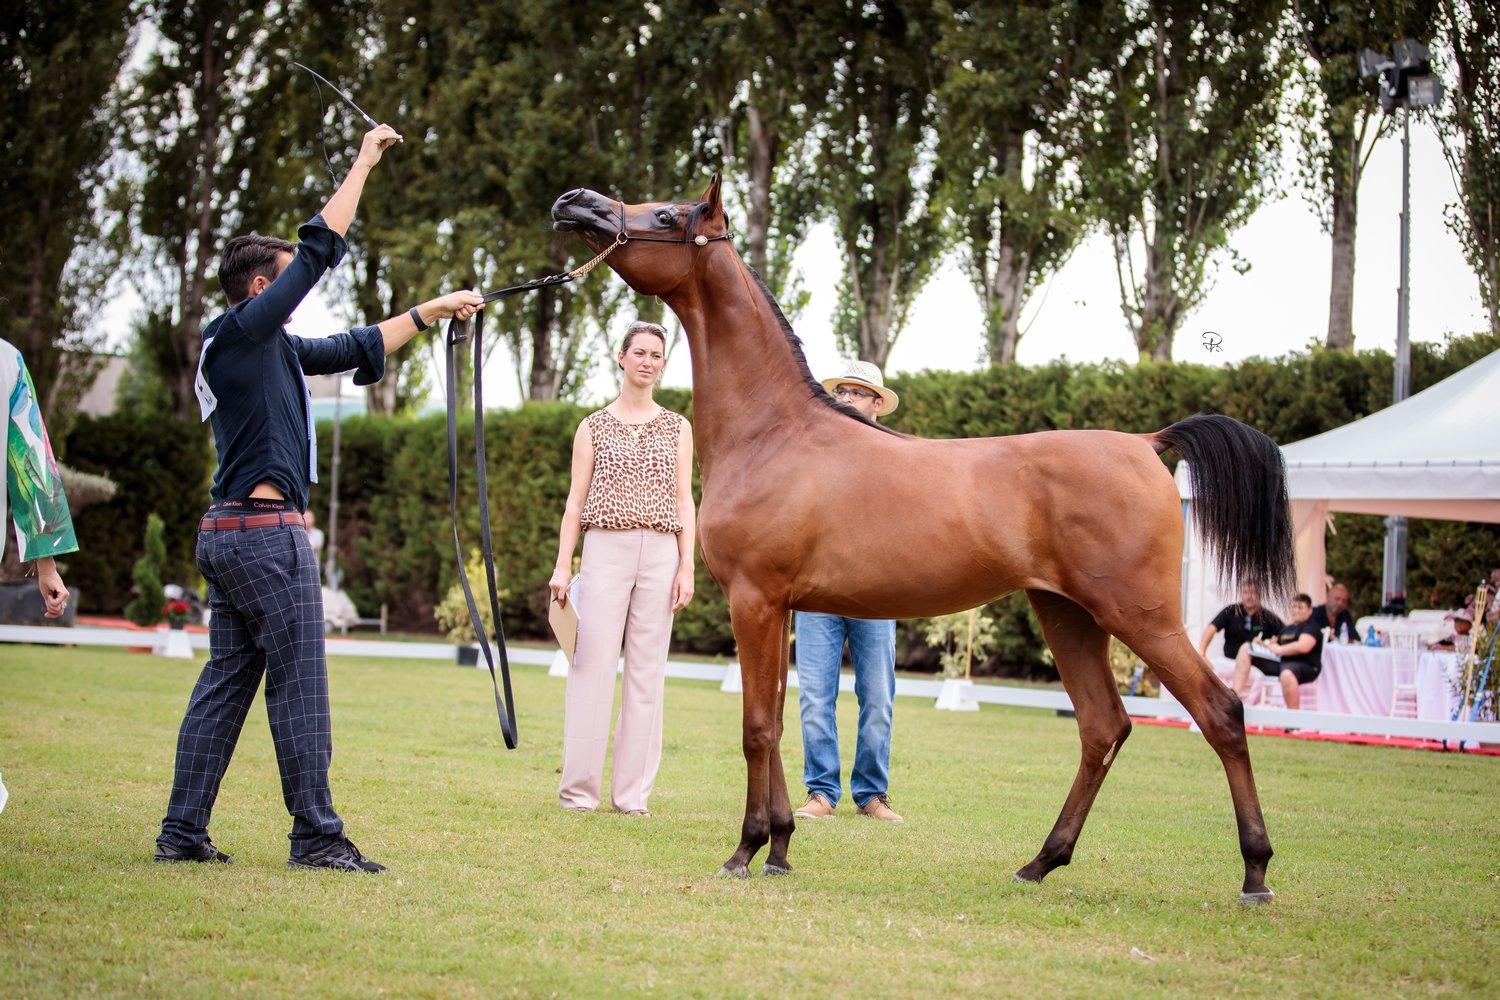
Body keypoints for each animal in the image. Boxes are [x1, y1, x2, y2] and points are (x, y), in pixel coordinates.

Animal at [551, 177, 1293, 902]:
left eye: (666, 214)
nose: (575, 203)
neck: (775, 433)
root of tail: (1145, 442)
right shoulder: (778, 608)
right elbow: (779, 719)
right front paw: (782, 848)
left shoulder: (753, 600)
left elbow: (757, 727)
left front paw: (747, 849)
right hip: (1068, 614)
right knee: (1103, 727)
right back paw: (1040, 863)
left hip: (1140, 614)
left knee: (1220, 712)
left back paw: (1256, 873)